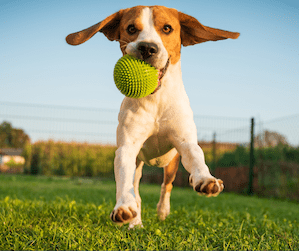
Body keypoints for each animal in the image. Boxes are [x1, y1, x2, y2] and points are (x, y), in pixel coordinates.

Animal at [67, 4, 240, 228]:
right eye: (131, 28)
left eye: (167, 28)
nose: (147, 48)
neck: (155, 100)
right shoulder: (127, 148)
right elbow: (124, 181)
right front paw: (124, 208)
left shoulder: (185, 142)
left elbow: (196, 157)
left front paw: (205, 179)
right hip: (139, 164)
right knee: (136, 190)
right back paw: (136, 222)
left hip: (172, 163)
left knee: (167, 186)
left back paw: (164, 209)